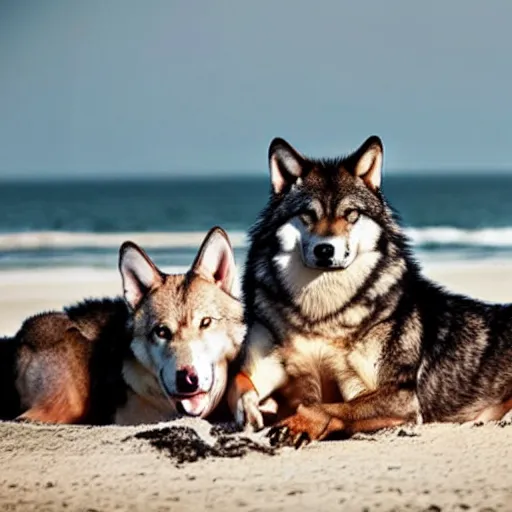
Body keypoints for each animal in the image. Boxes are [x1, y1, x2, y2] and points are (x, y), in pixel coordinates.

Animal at [228, 135, 512, 444]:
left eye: (350, 214)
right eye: (307, 214)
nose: (325, 249)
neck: (320, 315)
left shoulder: (399, 397)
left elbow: (327, 406)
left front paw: (300, 423)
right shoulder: (260, 369)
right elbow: (238, 385)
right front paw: (249, 413)